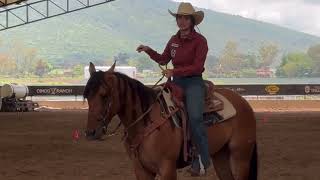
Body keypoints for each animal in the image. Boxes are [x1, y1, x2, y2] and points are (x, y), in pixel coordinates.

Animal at [84, 62, 256, 180]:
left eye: (104, 95)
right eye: (86, 95)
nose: (91, 132)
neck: (145, 121)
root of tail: (243, 101)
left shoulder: (167, 168)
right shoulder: (142, 170)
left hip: (240, 156)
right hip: (221, 156)